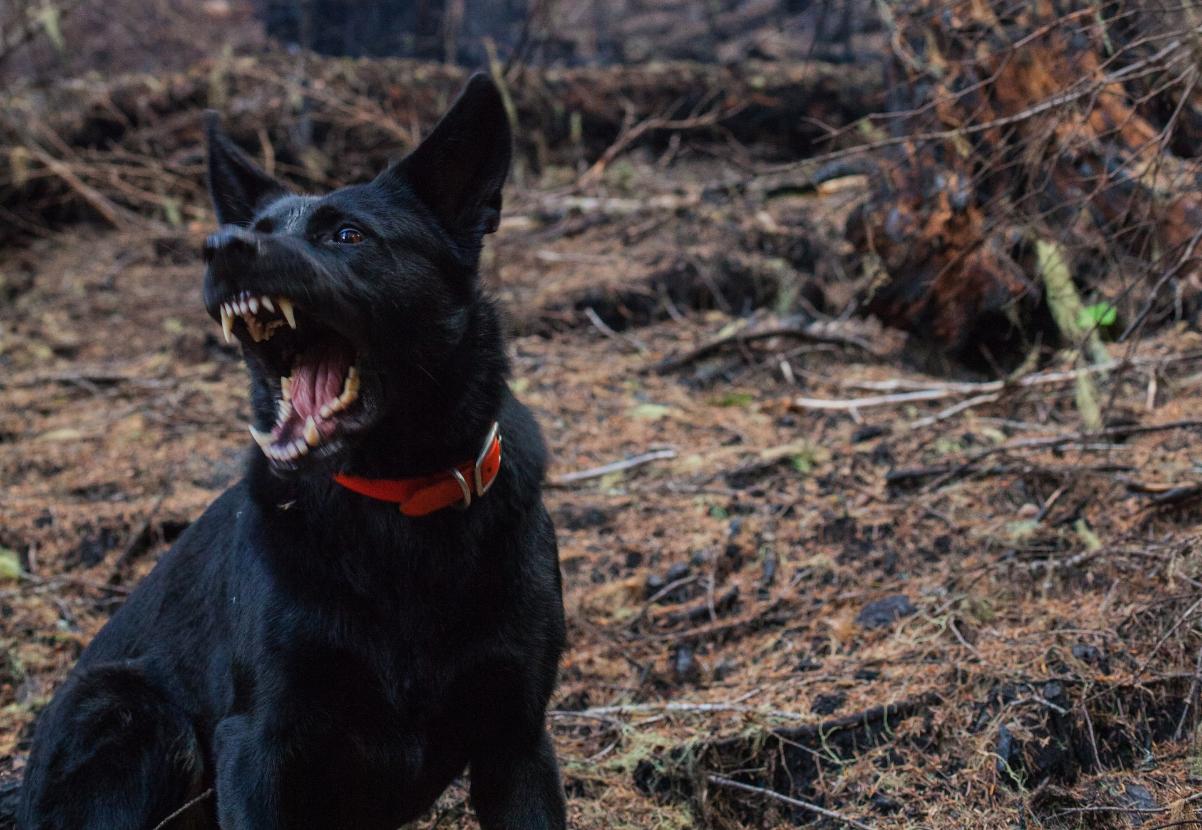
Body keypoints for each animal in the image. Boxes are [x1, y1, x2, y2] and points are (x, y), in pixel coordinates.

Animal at [19, 72, 567, 830]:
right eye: (256, 230)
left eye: (347, 234)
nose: (220, 245)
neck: (396, 505)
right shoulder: (259, 741)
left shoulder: (517, 741)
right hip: (134, 713)